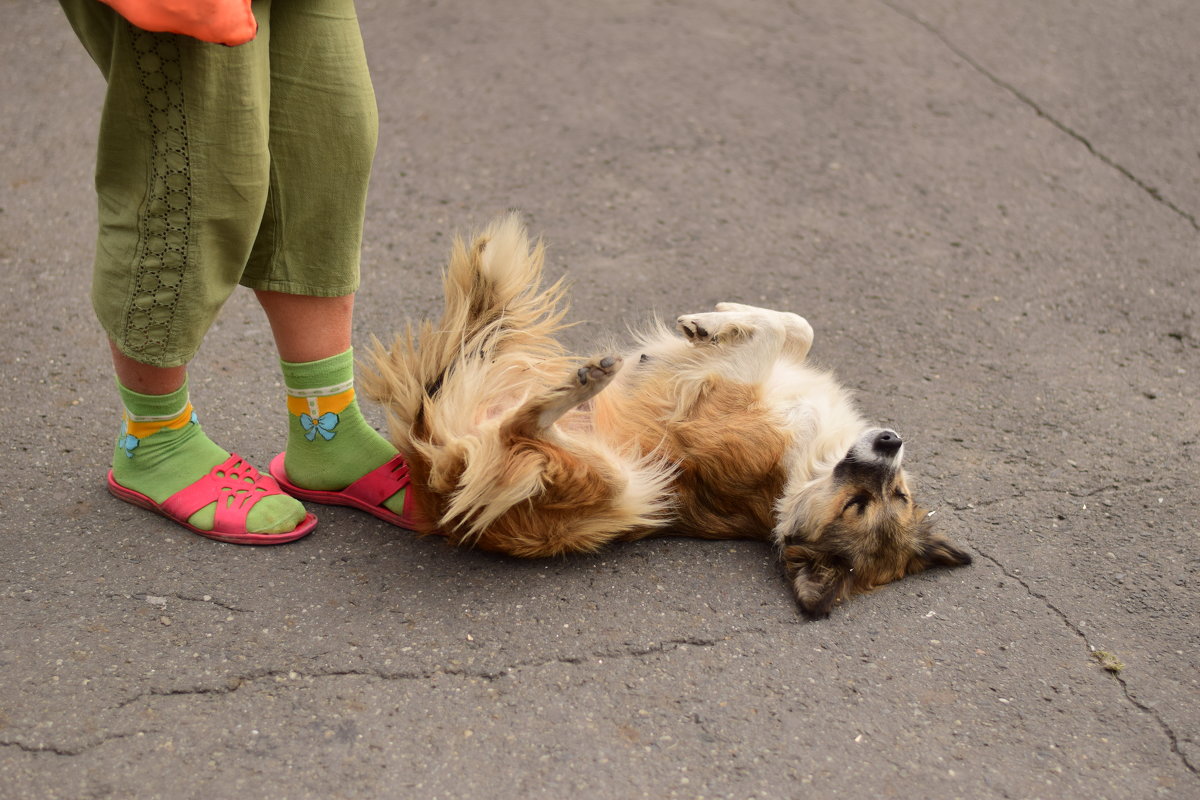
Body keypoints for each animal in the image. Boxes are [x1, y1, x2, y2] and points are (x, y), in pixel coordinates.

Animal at [360, 215, 969, 618]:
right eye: (896, 496)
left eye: (861, 506)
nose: (891, 442)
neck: (800, 477)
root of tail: (434, 498)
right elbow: (797, 326)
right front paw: (720, 316)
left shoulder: (718, 395)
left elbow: (773, 333)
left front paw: (711, 324)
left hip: (614, 486)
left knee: (520, 430)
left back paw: (584, 381)